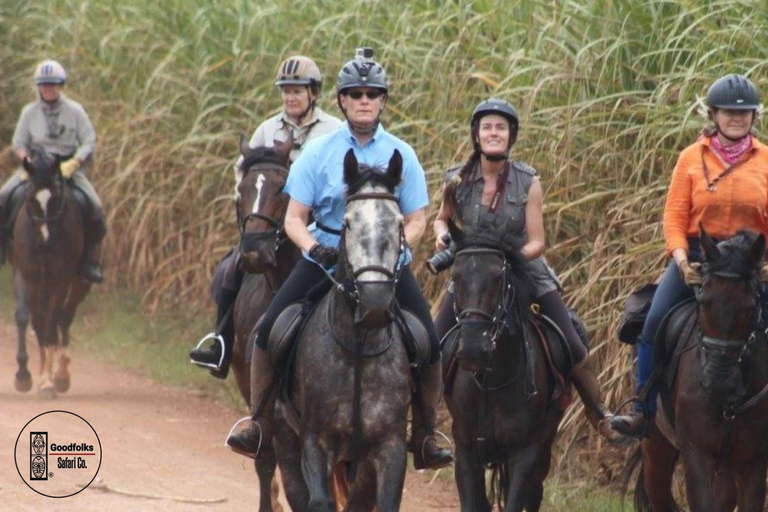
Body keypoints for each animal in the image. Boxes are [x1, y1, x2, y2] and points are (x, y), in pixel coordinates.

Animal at [11, 147, 90, 396]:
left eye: (55, 198)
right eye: (30, 198)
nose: (46, 241)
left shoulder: (60, 281)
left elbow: (52, 321)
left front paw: (47, 381)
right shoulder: (24, 275)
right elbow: (24, 318)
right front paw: (23, 375)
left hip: (79, 283)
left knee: (63, 317)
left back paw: (61, 373)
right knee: (41, 321)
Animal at [272, 149, 412, 512]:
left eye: (399, 223)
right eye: (348, 222)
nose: (375, 305)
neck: (359, 348)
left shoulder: (390, 447)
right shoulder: (315, 440)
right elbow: (319, 501)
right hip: (286, 437)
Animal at [444, 224, 564, 512]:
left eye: (498, 278)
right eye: (455, 276)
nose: (473, 350)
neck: (493, 380)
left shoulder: (524, 454)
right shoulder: (466, 452)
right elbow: (473, 503)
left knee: (535, 493)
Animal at [632, 229, 768, 512]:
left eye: (751, 307)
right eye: (704, 301)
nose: (718, 384)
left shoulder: (753, 461)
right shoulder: (697, 455)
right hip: (656, 444)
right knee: (658, 493)